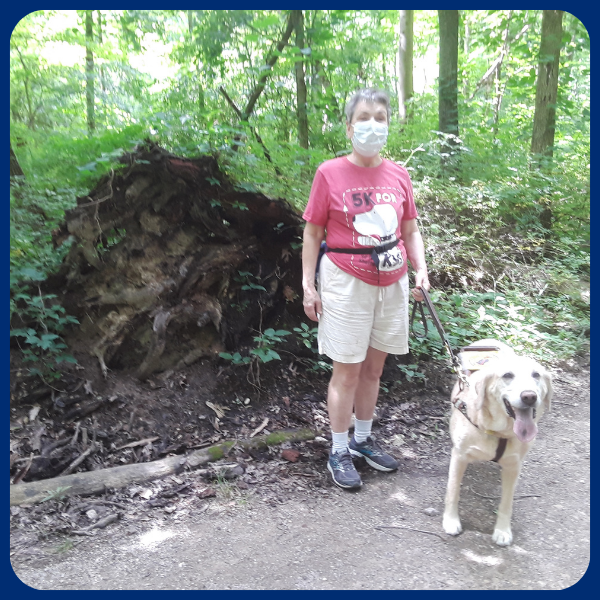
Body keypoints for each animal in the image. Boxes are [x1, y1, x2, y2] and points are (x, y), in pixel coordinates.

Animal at [442, 340, 552, 548]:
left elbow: (506, 503)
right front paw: (451, 521)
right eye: (507, 375)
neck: (498, 432)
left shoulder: (513, 466)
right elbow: (453, 491)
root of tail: (488, 342)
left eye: (536, 375)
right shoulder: (459, 456)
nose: (529, 396)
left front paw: (502, 531)